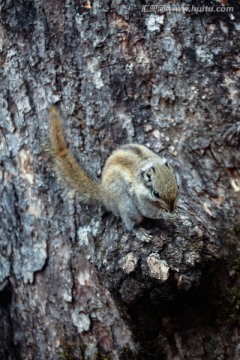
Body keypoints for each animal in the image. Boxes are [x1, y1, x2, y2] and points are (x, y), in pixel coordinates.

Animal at [49, 107, 178, 242]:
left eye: (177, 185)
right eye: (156, 193)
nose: (171, 208)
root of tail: (104, 194)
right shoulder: (139, 199)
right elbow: (147, 211)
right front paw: (165, 215)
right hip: (126, 205)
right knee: (130, 222)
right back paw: (139, 231)